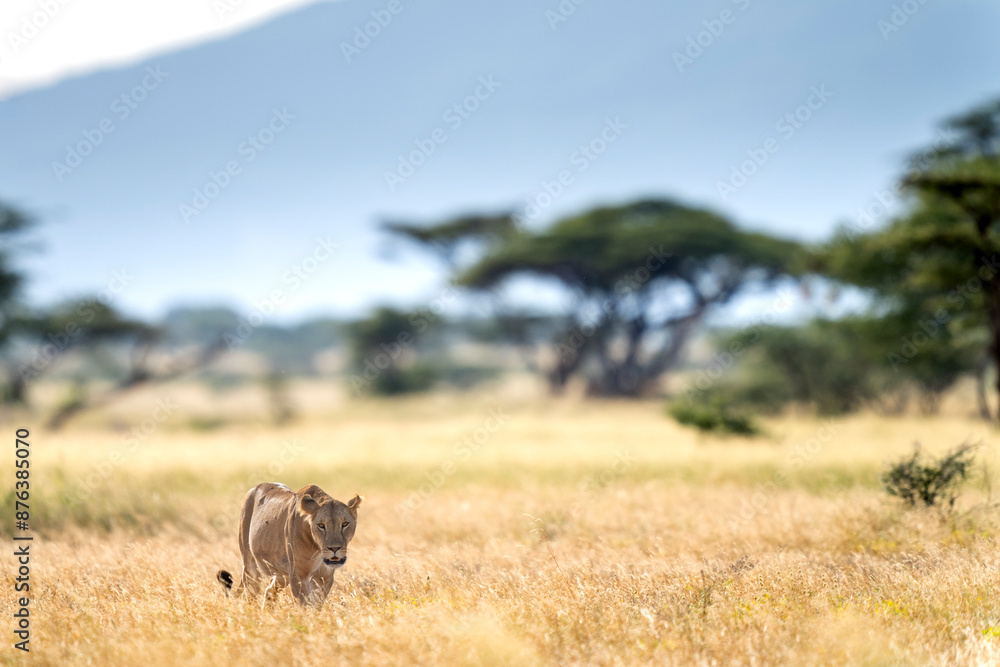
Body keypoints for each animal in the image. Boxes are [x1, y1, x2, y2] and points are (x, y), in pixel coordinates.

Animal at [216, 482, 362, 607]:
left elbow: (317, 604)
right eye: (321, 525)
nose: (334, 548)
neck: (317, 549)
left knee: (269, 590)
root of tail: (256, 487)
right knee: (250, 595)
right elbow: (306, 605)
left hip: (282, 574)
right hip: (251, 567)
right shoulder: (299, 575)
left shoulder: (324, 576)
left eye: (345, 524)